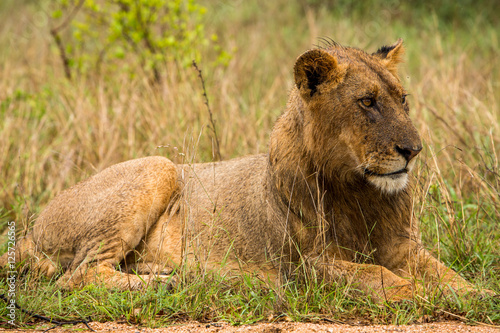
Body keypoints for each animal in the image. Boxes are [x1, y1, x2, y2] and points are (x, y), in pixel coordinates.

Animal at [0, 39, 492, 300]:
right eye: (367, 102)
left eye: (402, 100)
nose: (414, 150)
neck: (360, 190)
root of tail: (29, 231)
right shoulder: (307, 267)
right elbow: (384, 279)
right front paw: (425, 298)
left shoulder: (401, 246)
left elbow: (447, 274)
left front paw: (481, 297)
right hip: (159, 166)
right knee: (78, 275)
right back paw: (176, 284)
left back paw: (172, 275)